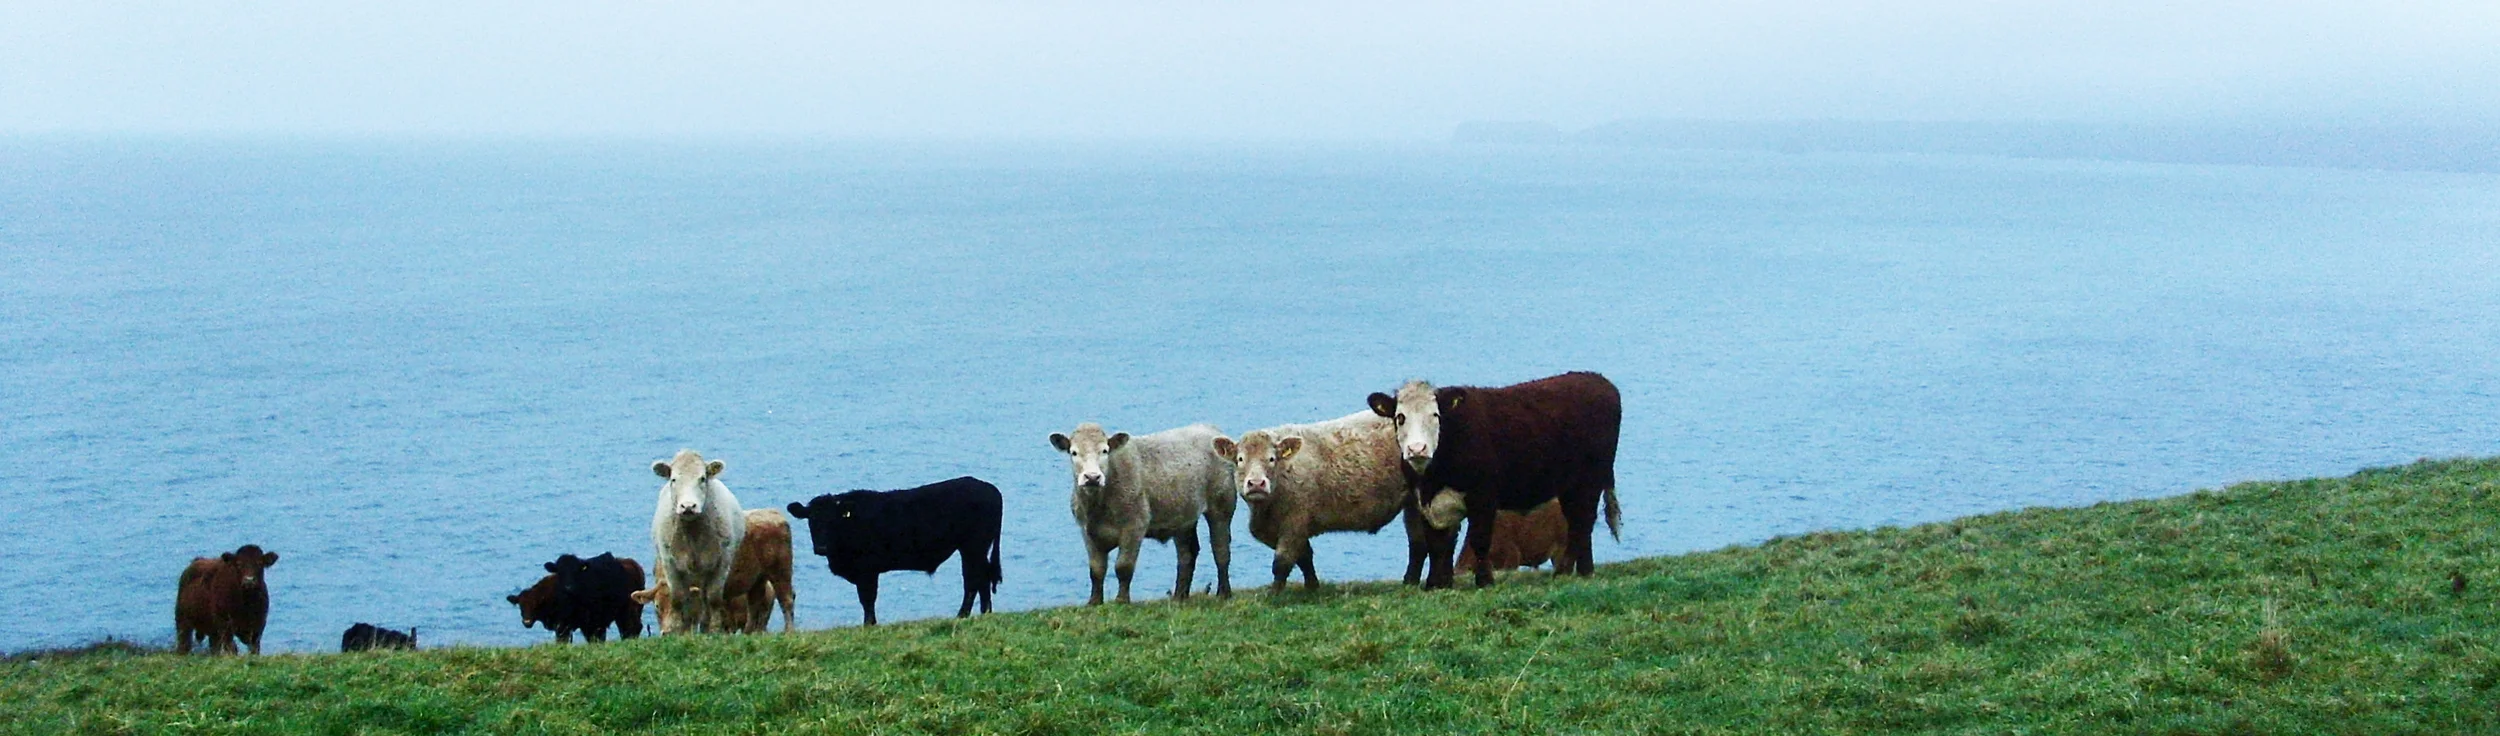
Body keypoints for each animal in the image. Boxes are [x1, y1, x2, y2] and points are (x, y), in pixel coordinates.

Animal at [651, 449, 746, 634]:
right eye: (673, 479)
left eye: (702, 478)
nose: (688, 506)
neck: (692, 533)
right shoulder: (669, 562)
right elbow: (677, 598)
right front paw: (677, 630)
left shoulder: (722, 561)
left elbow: (714, 597)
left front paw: (714, 630)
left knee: (704, 598)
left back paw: (704, 626)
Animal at [787, 476, 1004, 626]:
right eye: (811, 521)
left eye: (833, 521)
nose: (821, 548)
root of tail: (988, 487)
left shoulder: (867, 570)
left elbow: (867, 598)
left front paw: (869, 624)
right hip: (976, 548)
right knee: (983, 578)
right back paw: (985, 613)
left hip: (973, 546)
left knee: (973, 579)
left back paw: (962, 615)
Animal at [1050, 422, 1235, 604]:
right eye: (1073, 452)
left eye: (1105, 450)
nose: (1092, 477)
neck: (1098, 507)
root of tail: (1209, 428)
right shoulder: (1087, 531)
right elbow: (1096, 570)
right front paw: (1094, 601)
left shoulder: (1135, 526)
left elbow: (1123, 566)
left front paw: (1122, 600)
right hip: (1183, 516)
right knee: (1187, 553)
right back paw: (1179, 596)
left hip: (1221, 507)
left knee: (1220, 549)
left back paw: (1223, 593)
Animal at [1210, 411, 1432, 591]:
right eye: (1240, 459)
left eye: (1272, 458)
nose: (1256, 484)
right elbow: (1304, 557)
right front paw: (1312, 586)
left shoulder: (1295, 522)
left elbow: (1282, 562)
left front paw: (1274, 594)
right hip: (1412, 503)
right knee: (1418, 543)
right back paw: (1409, 582)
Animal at [1369, 371, 1623, 589]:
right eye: (1400, 417)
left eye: (1436, 415)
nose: (1417, 449)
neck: (1434, 478)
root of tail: (1599, 380)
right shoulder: (1424, 501)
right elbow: (1436, 545)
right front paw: (1436, 585)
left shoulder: (1483, 497)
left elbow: (1480, 540)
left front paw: (1485, 581)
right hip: (1571, 486)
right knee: (1578, 522)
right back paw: (1584, 571)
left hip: (1590, 479)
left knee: (1583, 522)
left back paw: (1564, 571)